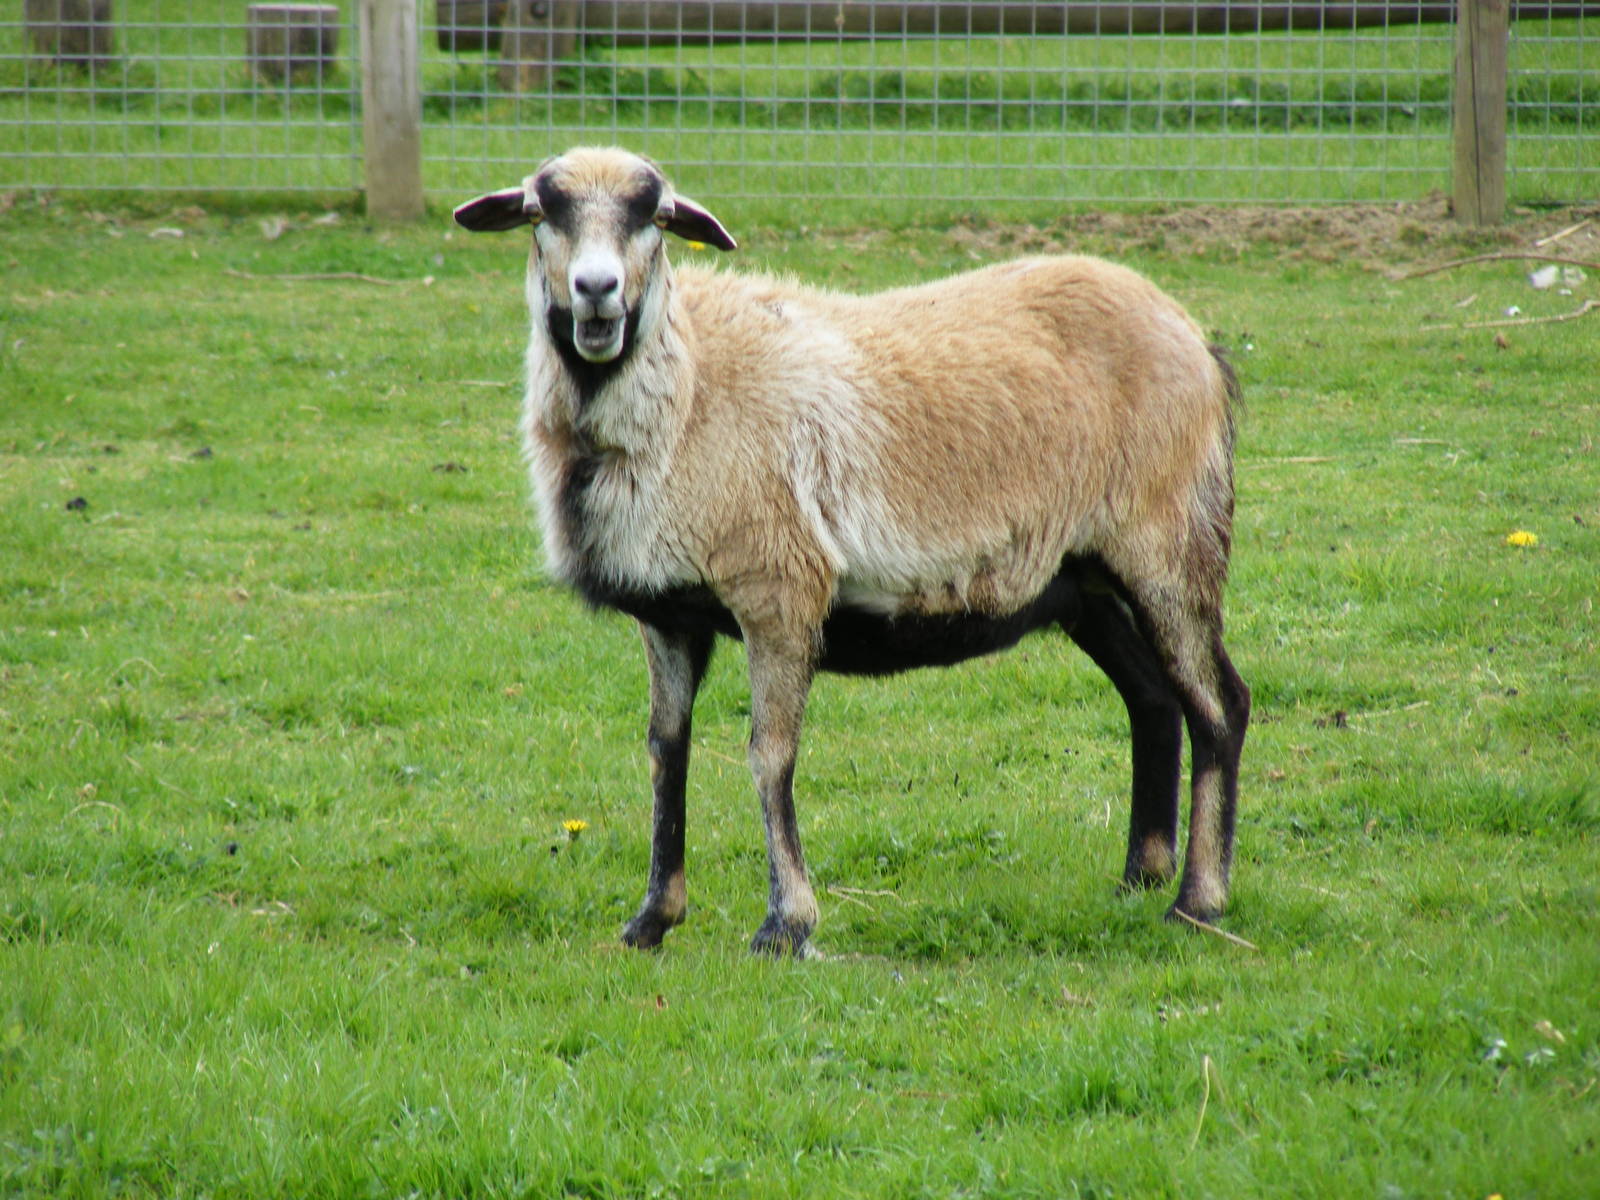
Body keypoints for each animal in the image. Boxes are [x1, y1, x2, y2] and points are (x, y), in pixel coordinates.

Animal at [454, 146, 1250, 957]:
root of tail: (1195, 336)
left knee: (1220, 706)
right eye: (541, 212)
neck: (692, 387)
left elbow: (769, 754)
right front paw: (651, 920)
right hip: (1081, 577)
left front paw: (785, 924)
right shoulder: (670, 613)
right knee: (1152, 699)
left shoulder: (779, 590)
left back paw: (1197, 901)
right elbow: (665, 751)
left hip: (1169, 541)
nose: (596, 291)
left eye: (659, 217)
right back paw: (1140, 876)